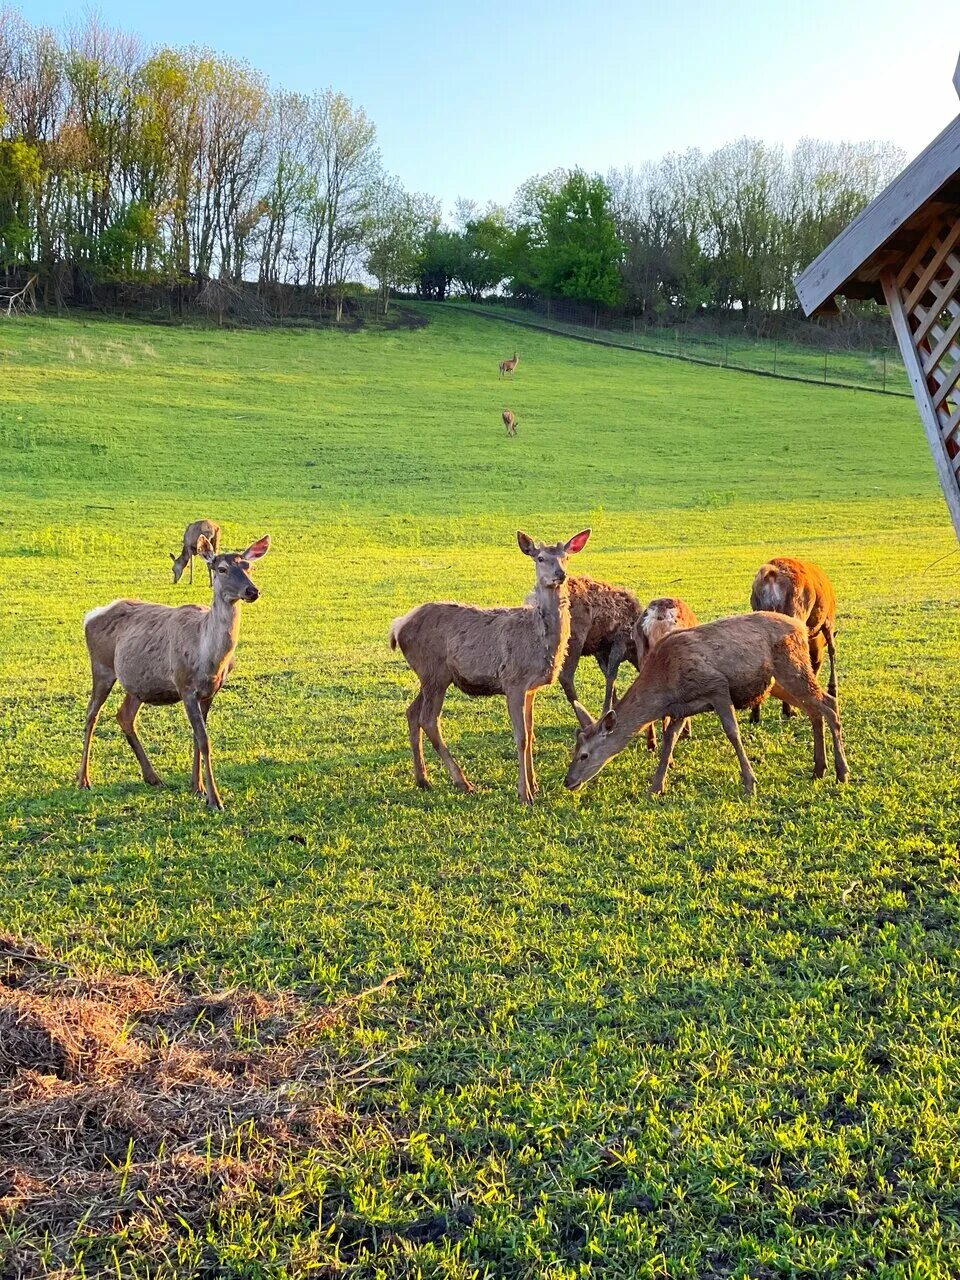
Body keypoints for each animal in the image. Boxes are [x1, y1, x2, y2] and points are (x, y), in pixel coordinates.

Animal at [73, 532, 271, 808]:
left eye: (248, 566)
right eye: (221, 569)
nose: (252, 590)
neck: (209, 657)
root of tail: (91, 615)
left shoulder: (210, 691)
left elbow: (198, 738)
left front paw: (197, 787)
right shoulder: (184, 685)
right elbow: (204, 740)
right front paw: (214, 799)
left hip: (138, 684)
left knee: (124, 715)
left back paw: (153, 777)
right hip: (101, 667)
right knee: (92, 713)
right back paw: (83, 779)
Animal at [391, 524, 593, 803]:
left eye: (566, 557)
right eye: (540, 558)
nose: (560, 575)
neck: (540, 640)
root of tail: (398, 627)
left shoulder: (531, 688)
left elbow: (531, 734)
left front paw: (535, 785)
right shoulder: (513, 681)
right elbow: (521, 737)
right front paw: (524, 794)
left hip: (431, 675)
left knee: (412, 712)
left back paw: (423, 779)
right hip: (434, 671)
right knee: (428, 719)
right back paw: (463, 782)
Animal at [563, 611, 849, 798]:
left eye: (584, 754)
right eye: (573, 751)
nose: (568, 781)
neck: (666, 686)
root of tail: (801, 627)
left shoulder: (717, 687)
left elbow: (732, 732)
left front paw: (750, 783)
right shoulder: (681, 708)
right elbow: (669, 741)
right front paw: (656, 787)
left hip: (792, 666)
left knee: (829, 703)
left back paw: (841, 771)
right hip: (778, 682)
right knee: (814, 710)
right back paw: (819, 769)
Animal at [752, 558, 834, 727]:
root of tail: (772, 574)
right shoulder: (828, 620)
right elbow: (832, 649)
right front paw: (832, 689)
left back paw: (756, 715)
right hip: (795, 612)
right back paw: (789, 710)